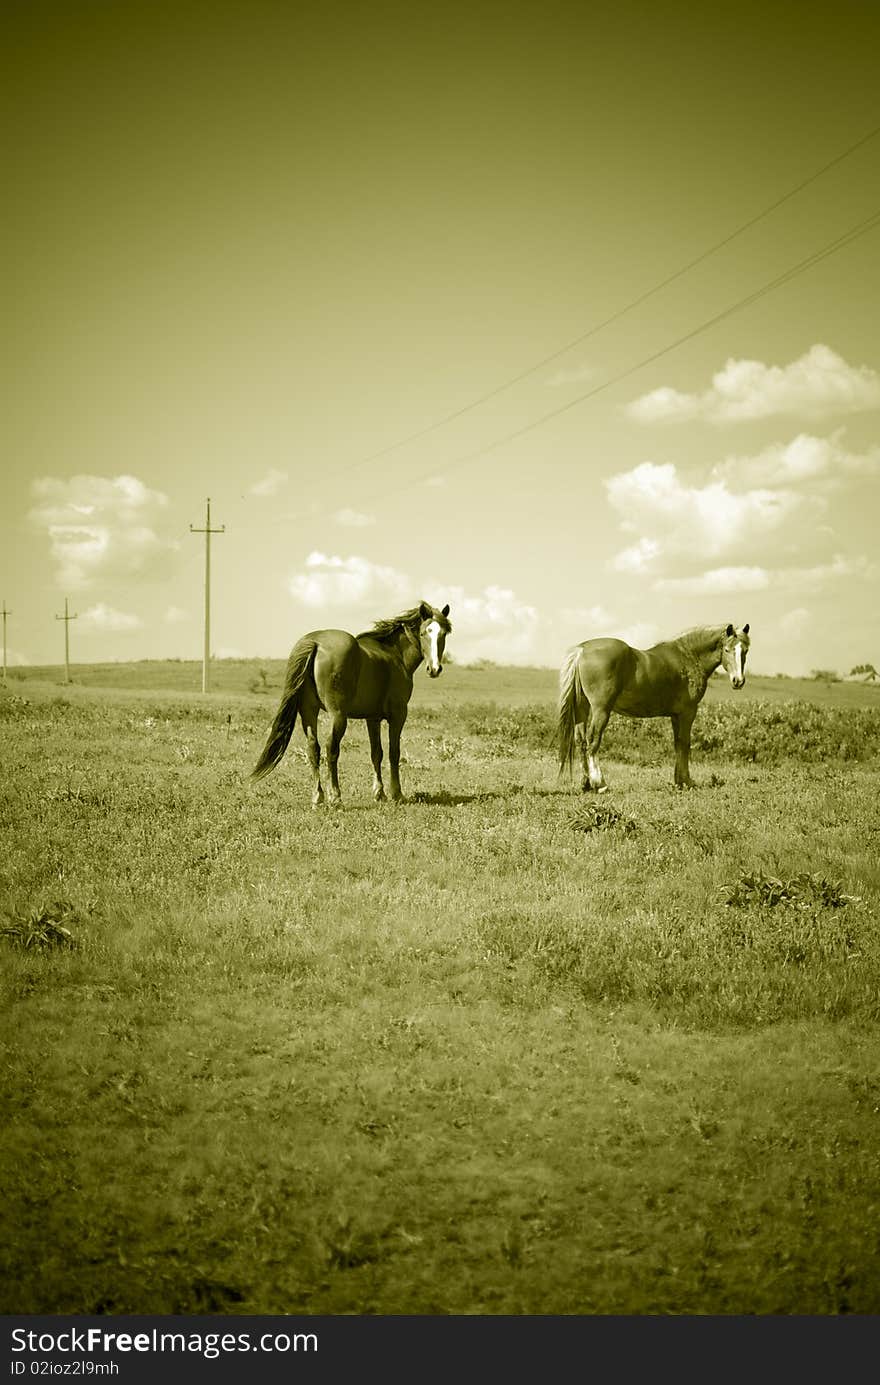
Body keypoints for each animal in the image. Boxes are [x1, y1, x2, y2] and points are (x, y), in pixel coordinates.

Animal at [249, 601, 451, 808]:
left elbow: (376, 753)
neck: (395, 654)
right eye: (424, 633)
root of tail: (316, 642)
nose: (434, 669)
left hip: (309, 712)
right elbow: (394, 753)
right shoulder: (398, 715)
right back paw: (335, 797)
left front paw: (379, 793)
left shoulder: (373, 718)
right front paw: (397, 794)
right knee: (331, 748)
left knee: (313, 749)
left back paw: (318, 797)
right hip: (338, 716)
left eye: (443, 634)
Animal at [557, 620, 748, 792]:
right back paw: (600, 784)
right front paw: (687, 781)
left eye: (745, 650)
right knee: (592, 741)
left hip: (582, 709)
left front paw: (679, 781)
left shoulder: (676, 715)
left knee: (581, 741)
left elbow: (678, 744)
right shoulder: (688, 712)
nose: (738, 681)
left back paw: (586, 784)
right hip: (601, 710)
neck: (688, 656)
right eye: (727, 650)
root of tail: (582, 650)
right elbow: (685, 744)